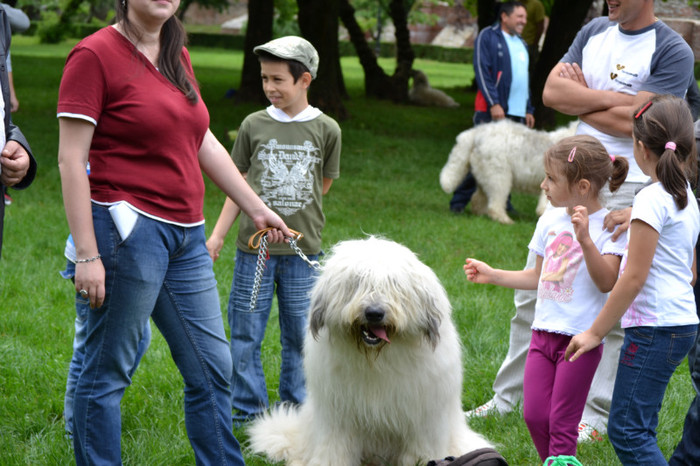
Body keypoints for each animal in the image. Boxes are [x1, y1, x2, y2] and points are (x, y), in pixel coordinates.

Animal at [249, 237, 494, 466]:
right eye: (357, 281)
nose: (374, 313)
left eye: (394, 284)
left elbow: (419, 450)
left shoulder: (422, 418)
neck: (378, 359)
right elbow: (335, 448)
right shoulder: (338, 416)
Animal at [440, 119, 576, 223]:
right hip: (499, 176)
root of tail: (477, 132)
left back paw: (481, 215)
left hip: (485, 176)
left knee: (477, 198)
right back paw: (506, 221)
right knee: (495, 204)